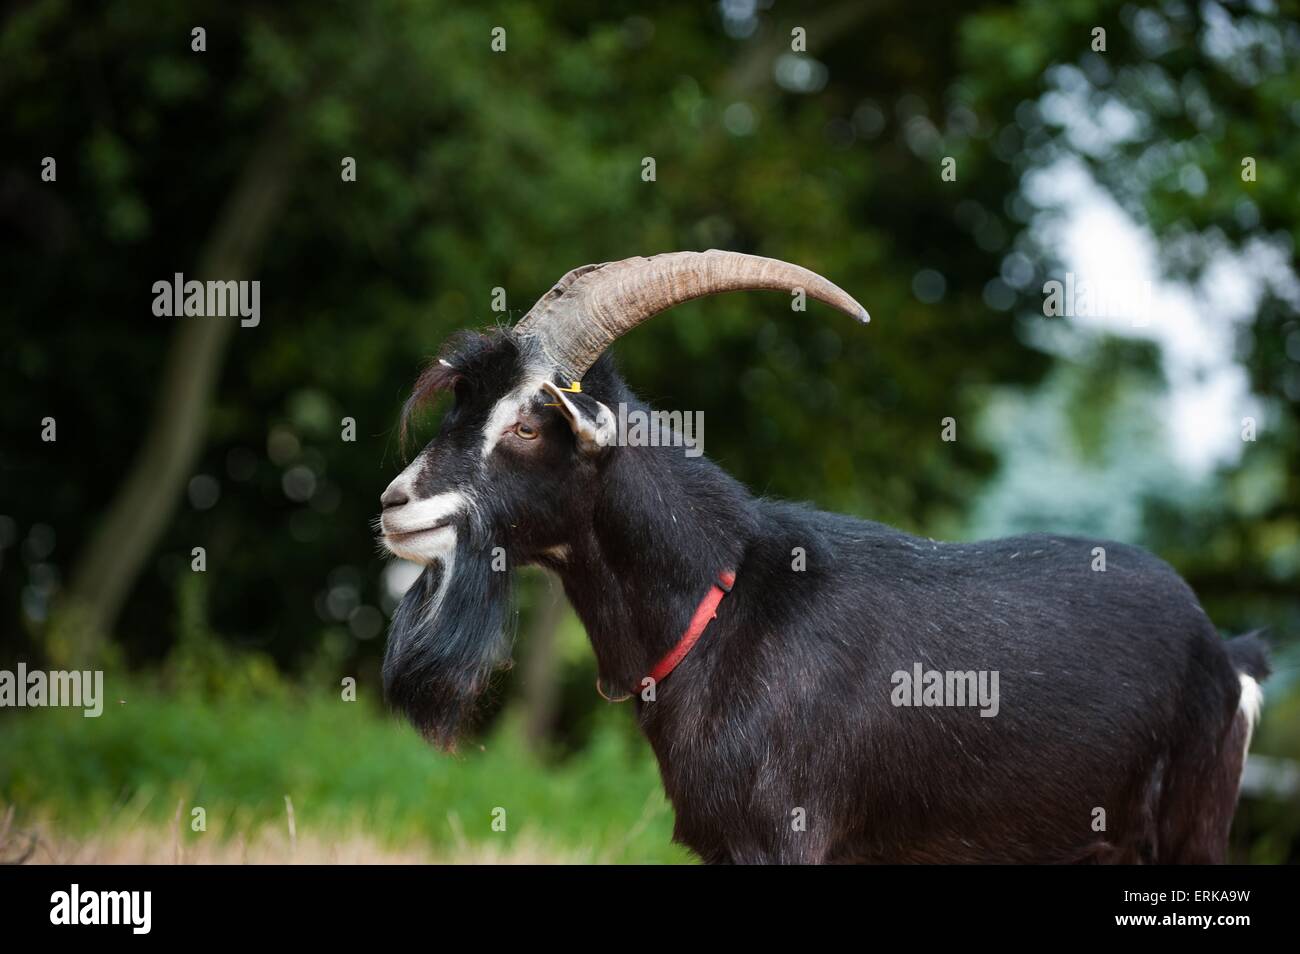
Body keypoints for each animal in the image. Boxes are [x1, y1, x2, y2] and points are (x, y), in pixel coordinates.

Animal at [377, 250, 1269, 864]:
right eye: (461, 404)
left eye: (530, 423)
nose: (394, 505)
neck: (725, 604)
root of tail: (1226, 652)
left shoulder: (785, 837)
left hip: (1188, 828)